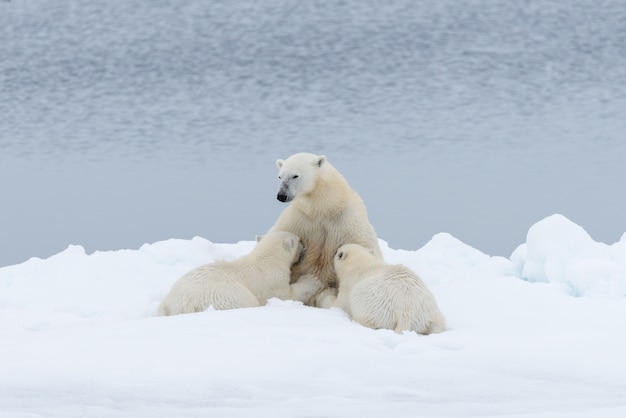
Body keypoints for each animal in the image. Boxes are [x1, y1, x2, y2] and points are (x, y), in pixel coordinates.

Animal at [266, 153, 378, 300]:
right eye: (279, 176)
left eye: (295, 175)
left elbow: (364, 245)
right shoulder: (298, 218)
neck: (324, 208)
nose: (281, 195)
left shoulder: (348, 219)